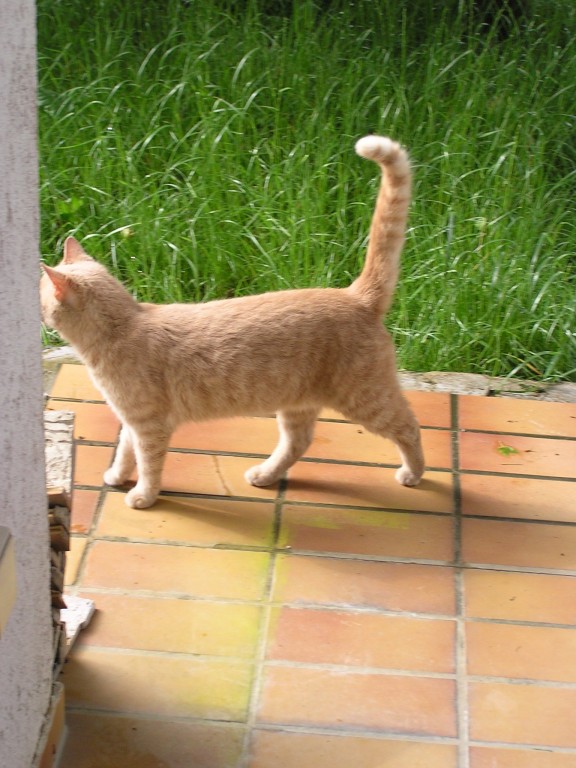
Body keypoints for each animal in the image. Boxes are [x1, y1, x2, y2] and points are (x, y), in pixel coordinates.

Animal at [40, 135, 425, 509]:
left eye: (41, 291)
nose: (38, 310)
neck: (121, 328)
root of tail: (355, 295)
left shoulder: (150, 425)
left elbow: (148, 464)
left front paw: (143, 496)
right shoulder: (132, 421)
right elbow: (124, 450)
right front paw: (117, 476)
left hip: (366, 399)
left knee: (409, 426)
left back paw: (413, 473)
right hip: (297, 405)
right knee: (298, 442)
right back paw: (266, 474)